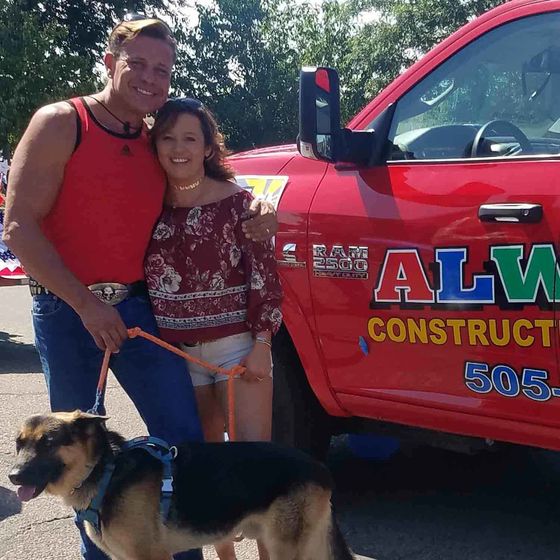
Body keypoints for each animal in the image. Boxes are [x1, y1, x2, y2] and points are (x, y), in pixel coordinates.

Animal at [9, 412, 354, 560]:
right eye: (18, 444)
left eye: (49, 442)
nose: (12, 476)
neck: (106, 471)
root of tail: (320, 467)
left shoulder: (153, 556)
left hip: (289, 547)